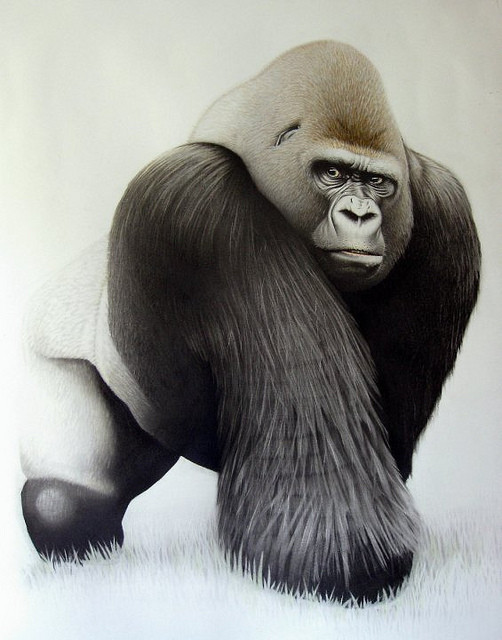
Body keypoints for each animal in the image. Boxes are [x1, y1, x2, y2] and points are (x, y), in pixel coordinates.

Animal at [20, 41, 480, 604]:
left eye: (377, 183)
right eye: (332, 173)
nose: (360, 216)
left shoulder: (443, 203)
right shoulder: (198, 195)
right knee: (64, 503)